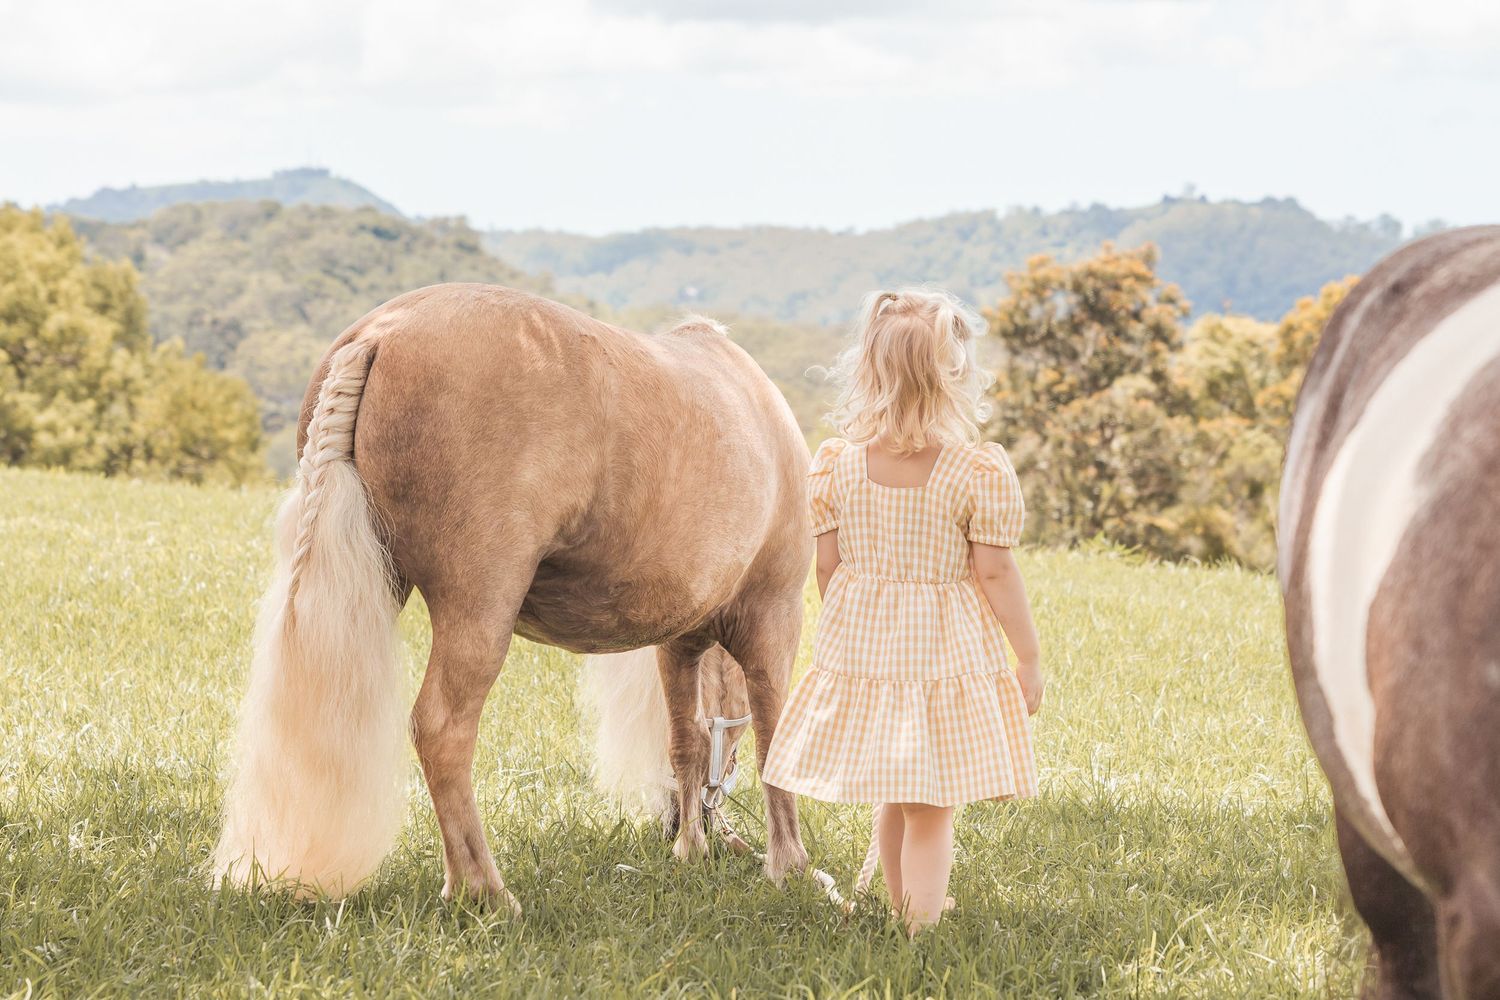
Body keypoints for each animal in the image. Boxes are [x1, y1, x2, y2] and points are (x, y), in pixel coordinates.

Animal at [211, 284, 812, 911]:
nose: (689, 826)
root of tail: (380, 334)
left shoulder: (678, 645)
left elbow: (687, 739)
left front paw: (689, 850)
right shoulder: (775, 618)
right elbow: (773, 739)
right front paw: (789, 867)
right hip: (479, 608)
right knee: (442, 729)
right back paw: (483, 891)